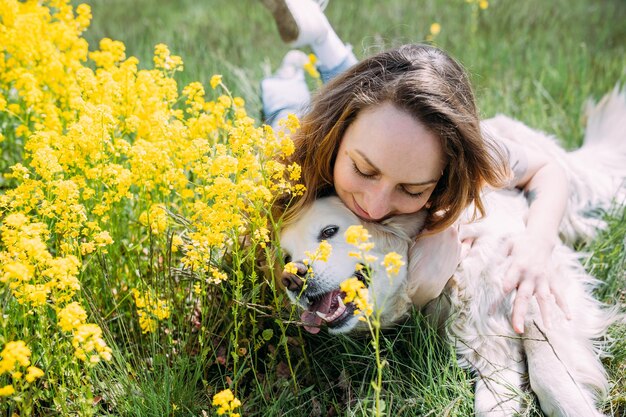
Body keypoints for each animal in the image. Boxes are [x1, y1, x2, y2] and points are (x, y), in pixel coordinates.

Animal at [280, 86, 624, 414]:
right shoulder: (488, 346)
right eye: (285, 256)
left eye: (329, 231)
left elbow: (550, 376)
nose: (292, 278)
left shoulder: (538, 290)